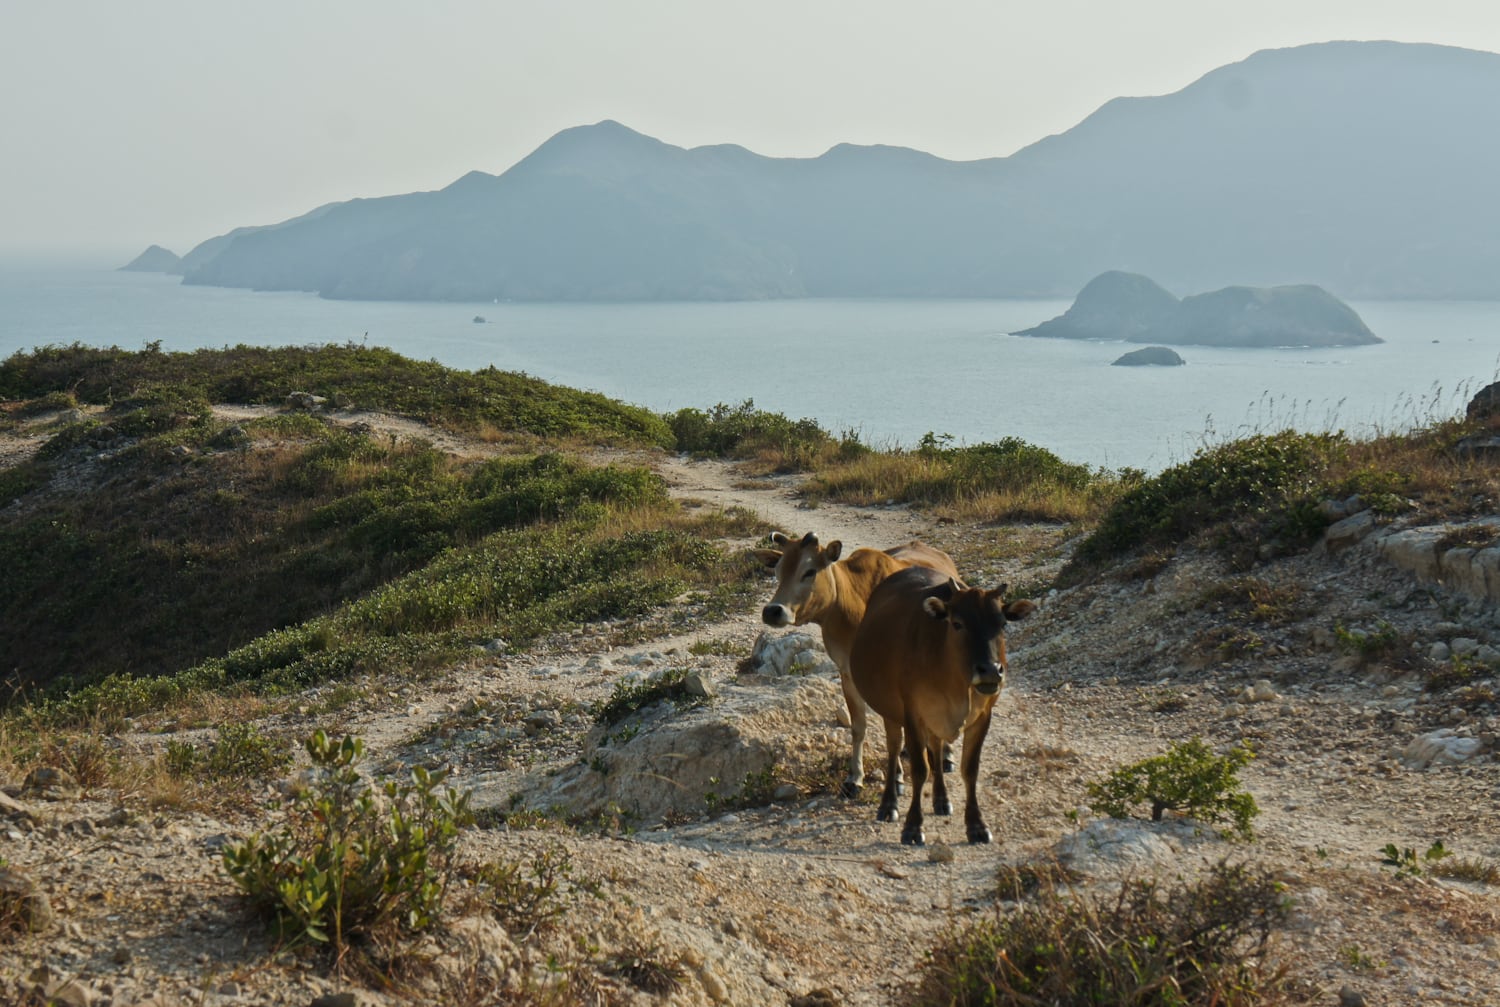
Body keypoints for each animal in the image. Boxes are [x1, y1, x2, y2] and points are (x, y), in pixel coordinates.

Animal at [750, 531, 960, 798]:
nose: (773, 611)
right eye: (777, 570)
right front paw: (854, 778)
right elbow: (859, 726)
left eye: (809, 571)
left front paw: (897, 778)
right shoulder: (848, 673)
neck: (853, 603)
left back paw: (946, 755)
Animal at [852, 567, 1038, 840]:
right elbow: (920, 770)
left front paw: (976, 825)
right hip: (891, 712)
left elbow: (969, 769)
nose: (990, 671)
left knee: (936, 748)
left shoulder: (982, 716)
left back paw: (941, 799)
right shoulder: (913, 714)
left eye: (1002, 624)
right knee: (894, 749)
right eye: (957, 623)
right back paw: (888, 805)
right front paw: (913, 826)